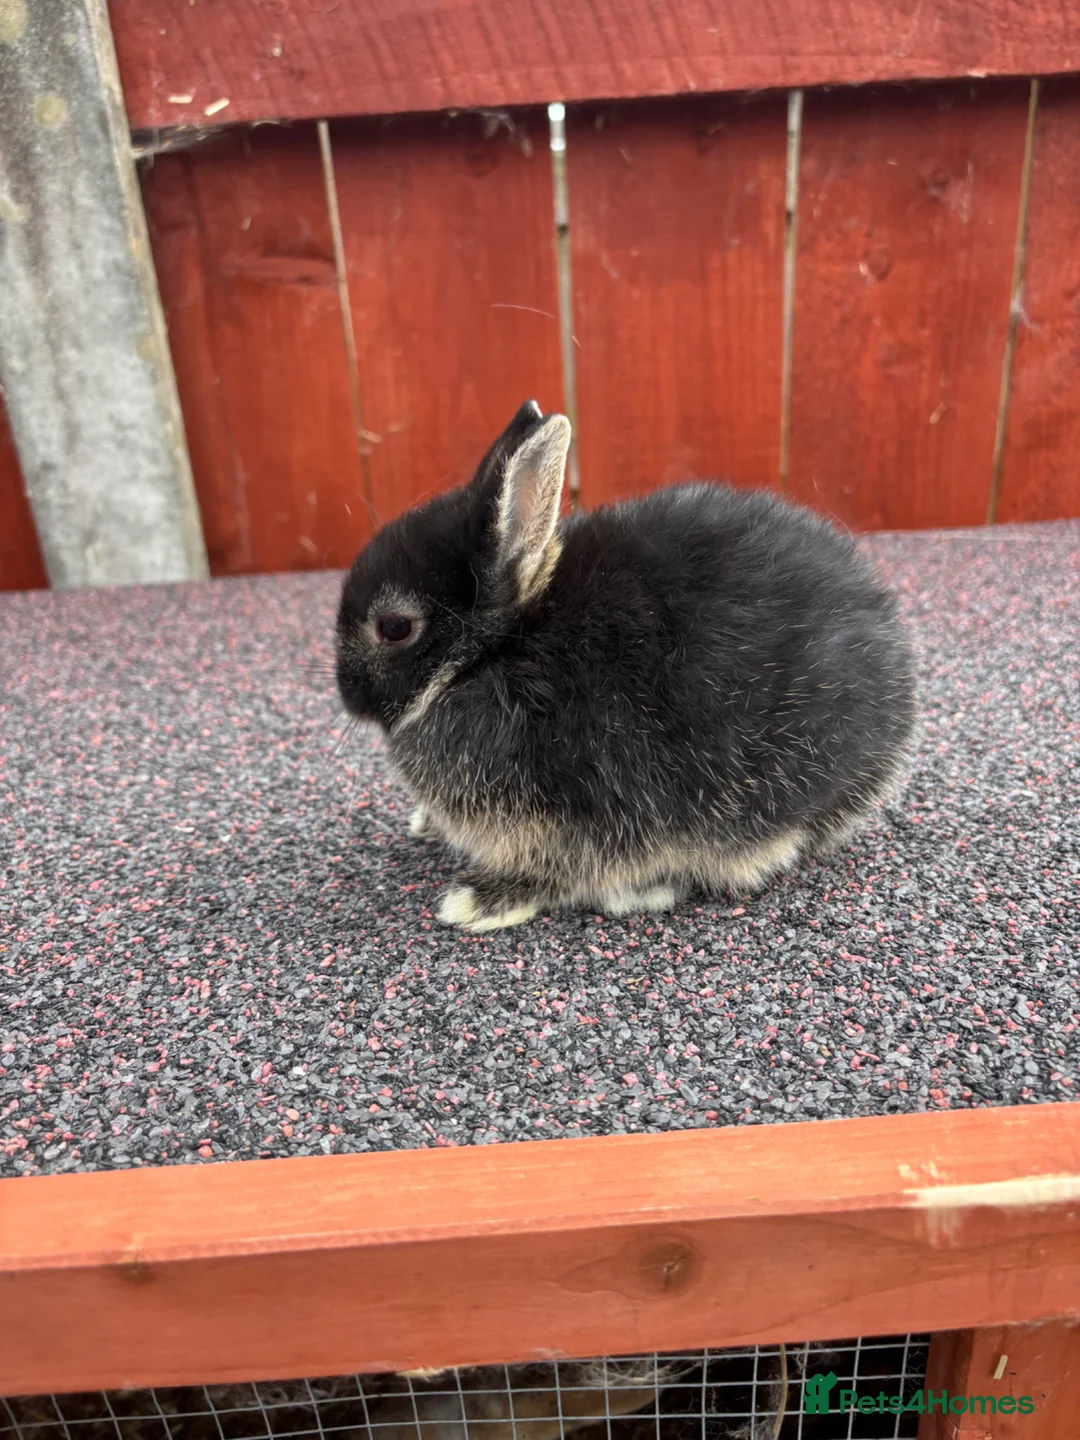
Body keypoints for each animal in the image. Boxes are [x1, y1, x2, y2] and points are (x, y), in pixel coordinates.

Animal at [336, 400, 917, 931]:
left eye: (394, 627)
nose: (346, 693)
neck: (495, 652)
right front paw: (426, 826)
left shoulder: (574, 819)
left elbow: (555, 873)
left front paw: (478, 902)